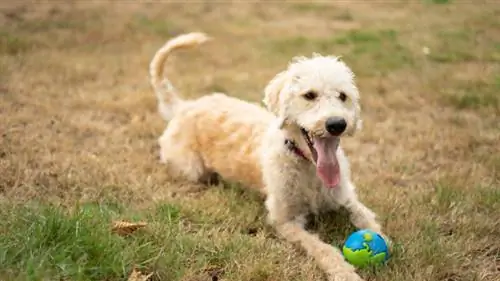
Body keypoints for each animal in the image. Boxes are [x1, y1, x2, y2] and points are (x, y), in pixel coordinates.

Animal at [150, 31, 388, 278]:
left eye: (342, 96)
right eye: (309, 95)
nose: (337, 124)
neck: (306, 164)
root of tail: (184, 106)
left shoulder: (345, 196)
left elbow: (367, 218)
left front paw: (385, 241)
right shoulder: (286, 221)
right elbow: (322, 248)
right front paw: (344, 272)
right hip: (192, 170)